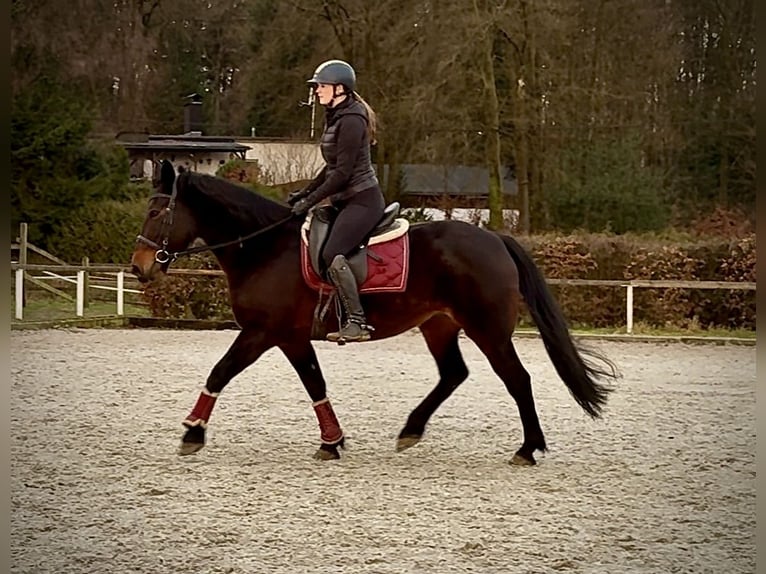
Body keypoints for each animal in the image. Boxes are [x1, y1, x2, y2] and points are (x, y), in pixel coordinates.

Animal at [131, 160, 619, 465]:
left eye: (156, 210)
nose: (139, 268)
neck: (265, 248)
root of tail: (495, 238)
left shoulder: (261, 332)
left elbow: (220, 371)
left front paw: (192, 432)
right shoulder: (290, 337)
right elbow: (315, 384)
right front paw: (332, 442)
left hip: (488, 330)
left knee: (517, 379)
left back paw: (527, 448)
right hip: (439, 325)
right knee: (453, 374)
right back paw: (411, 429)